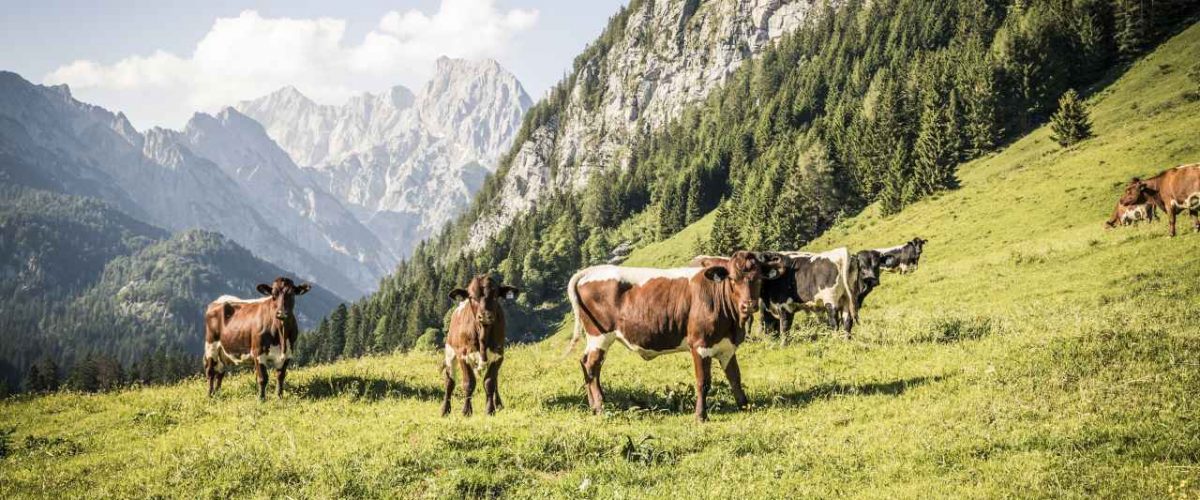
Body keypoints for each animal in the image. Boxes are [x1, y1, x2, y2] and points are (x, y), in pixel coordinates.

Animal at [441, 273, 516, 417]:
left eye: (495, 295)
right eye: (472, 297)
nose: (485, 316)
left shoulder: (499, 354)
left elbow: (490, 382)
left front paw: (490, 409)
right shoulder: (463, 355)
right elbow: (468, 383)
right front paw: (466, 411)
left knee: (495, 380)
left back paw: (498, 404)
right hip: (450, 352)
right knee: (449, 381)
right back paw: (444, 410)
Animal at [564, 249, 787, 422]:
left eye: (758, 279)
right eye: (732, 279)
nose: (748, 305)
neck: (732, 323)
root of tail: (590, 271)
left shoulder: (727, 347)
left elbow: (735, 378)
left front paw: (745, 406)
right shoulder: (700, 345)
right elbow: (703, 382)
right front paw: (700, 416)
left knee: (587, 364)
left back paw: (594, 406)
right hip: (599, 335)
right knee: (592, 366)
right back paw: (600, 407)